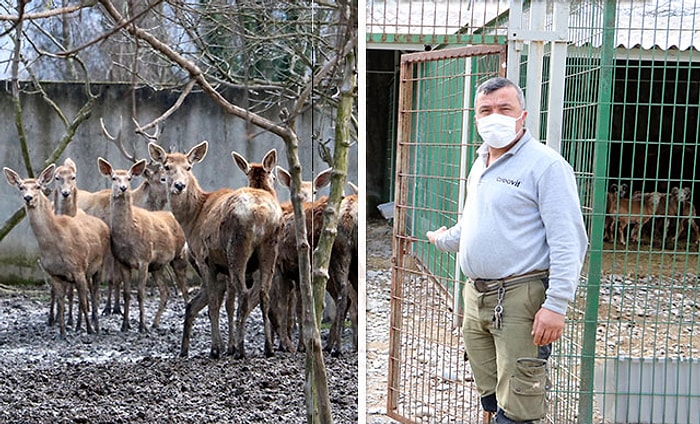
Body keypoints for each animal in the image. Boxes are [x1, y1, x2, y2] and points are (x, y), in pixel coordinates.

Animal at [3, 165, 110, 338]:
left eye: (38, 187)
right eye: (21, 187)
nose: (28, 198)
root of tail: (103, 224)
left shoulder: (78, 267)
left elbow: (82, 300)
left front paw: (89, 330)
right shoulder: (55, 273)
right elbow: (61, 303)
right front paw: (62, 333)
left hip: (99, 264)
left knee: (94, 294)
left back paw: (95, 326)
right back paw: (78, 325)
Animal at [96, 157, 189, 332]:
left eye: (129, 178)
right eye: (114, 178)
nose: (123, 188)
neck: (128, 236)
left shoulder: (144, 259)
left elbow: (140, 293)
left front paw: (142, 326)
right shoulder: (123, 261)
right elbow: (127, 293)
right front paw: (125, 325)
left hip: (179, 255)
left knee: (184, 290)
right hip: (158, 266)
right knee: (165, 291)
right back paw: (156, 323)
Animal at [149, 142, 284, 358]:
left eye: (188, 167)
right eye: (167, 167)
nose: (179, 185)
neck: (193, 218)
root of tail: (261, 214)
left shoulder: (205, 258)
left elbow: (214, 303)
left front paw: (216, 349)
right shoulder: (223, 268)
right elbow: (225, 304)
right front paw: (226, 346)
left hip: (237, 248)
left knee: (244, 294)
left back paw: (241, 349)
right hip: (270, 248)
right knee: (264, 294)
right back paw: (268, 348)